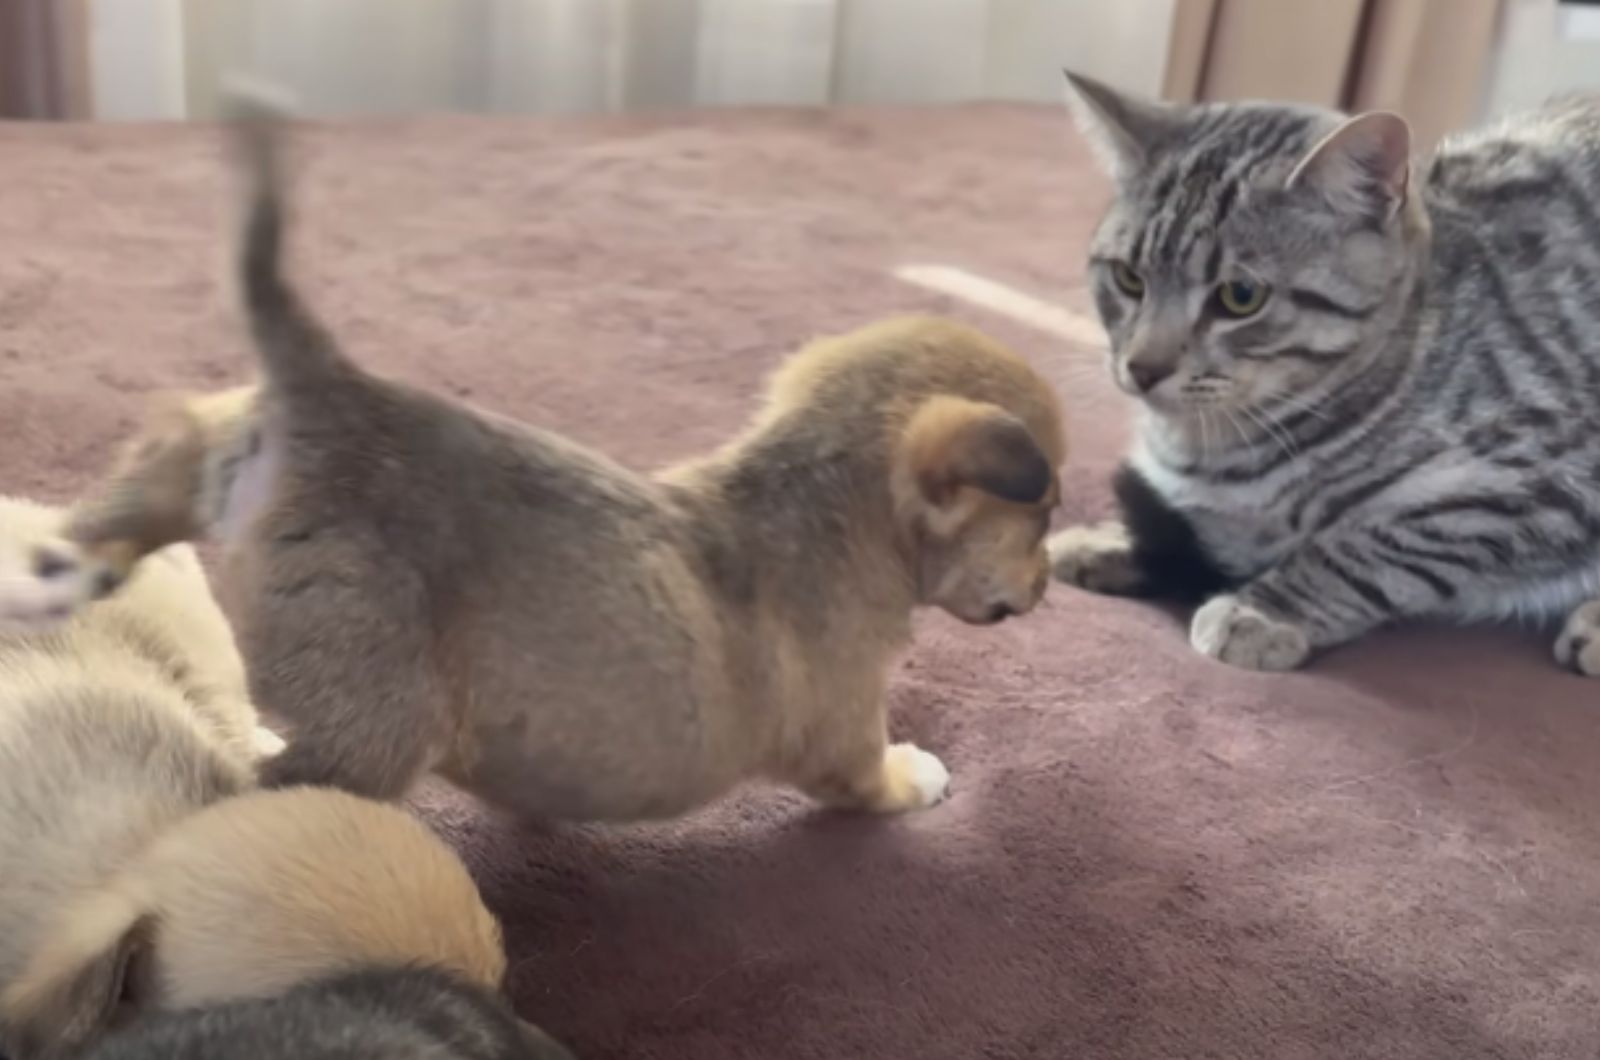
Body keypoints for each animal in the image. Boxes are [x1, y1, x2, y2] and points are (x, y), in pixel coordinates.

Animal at [12, 93, 1068, 819]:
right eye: (1045, 513)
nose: (1050, 582)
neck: (828, 506)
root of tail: (326, 391)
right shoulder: (844, 732)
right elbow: (875, 773)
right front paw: (918, 776)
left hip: (207, 459)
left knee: (137, 493)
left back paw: (51, 574)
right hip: (378, 728)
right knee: (249, 792)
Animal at [1043, 72, 1600, 672]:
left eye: (1240, 297)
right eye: (1128, 278)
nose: (1143, 366)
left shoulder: (1538, 479)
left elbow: (1365, 549)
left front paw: (1262, 610)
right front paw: (1110, 538)